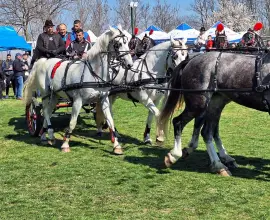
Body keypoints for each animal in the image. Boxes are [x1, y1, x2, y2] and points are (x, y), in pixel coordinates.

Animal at [24, 25, 133, 153]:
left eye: (127, 43)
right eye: (118, 44)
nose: (130, 64)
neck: (93, 73)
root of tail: (44, 61)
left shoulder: (104, 99)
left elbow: (110, 120)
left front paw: (116, 145)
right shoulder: (77, 101)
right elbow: (72, 122)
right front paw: (65, 144)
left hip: (55, 95)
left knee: (48, 111)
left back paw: (44, 136)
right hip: (46, 94)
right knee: (44, 111)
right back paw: (48, 133)